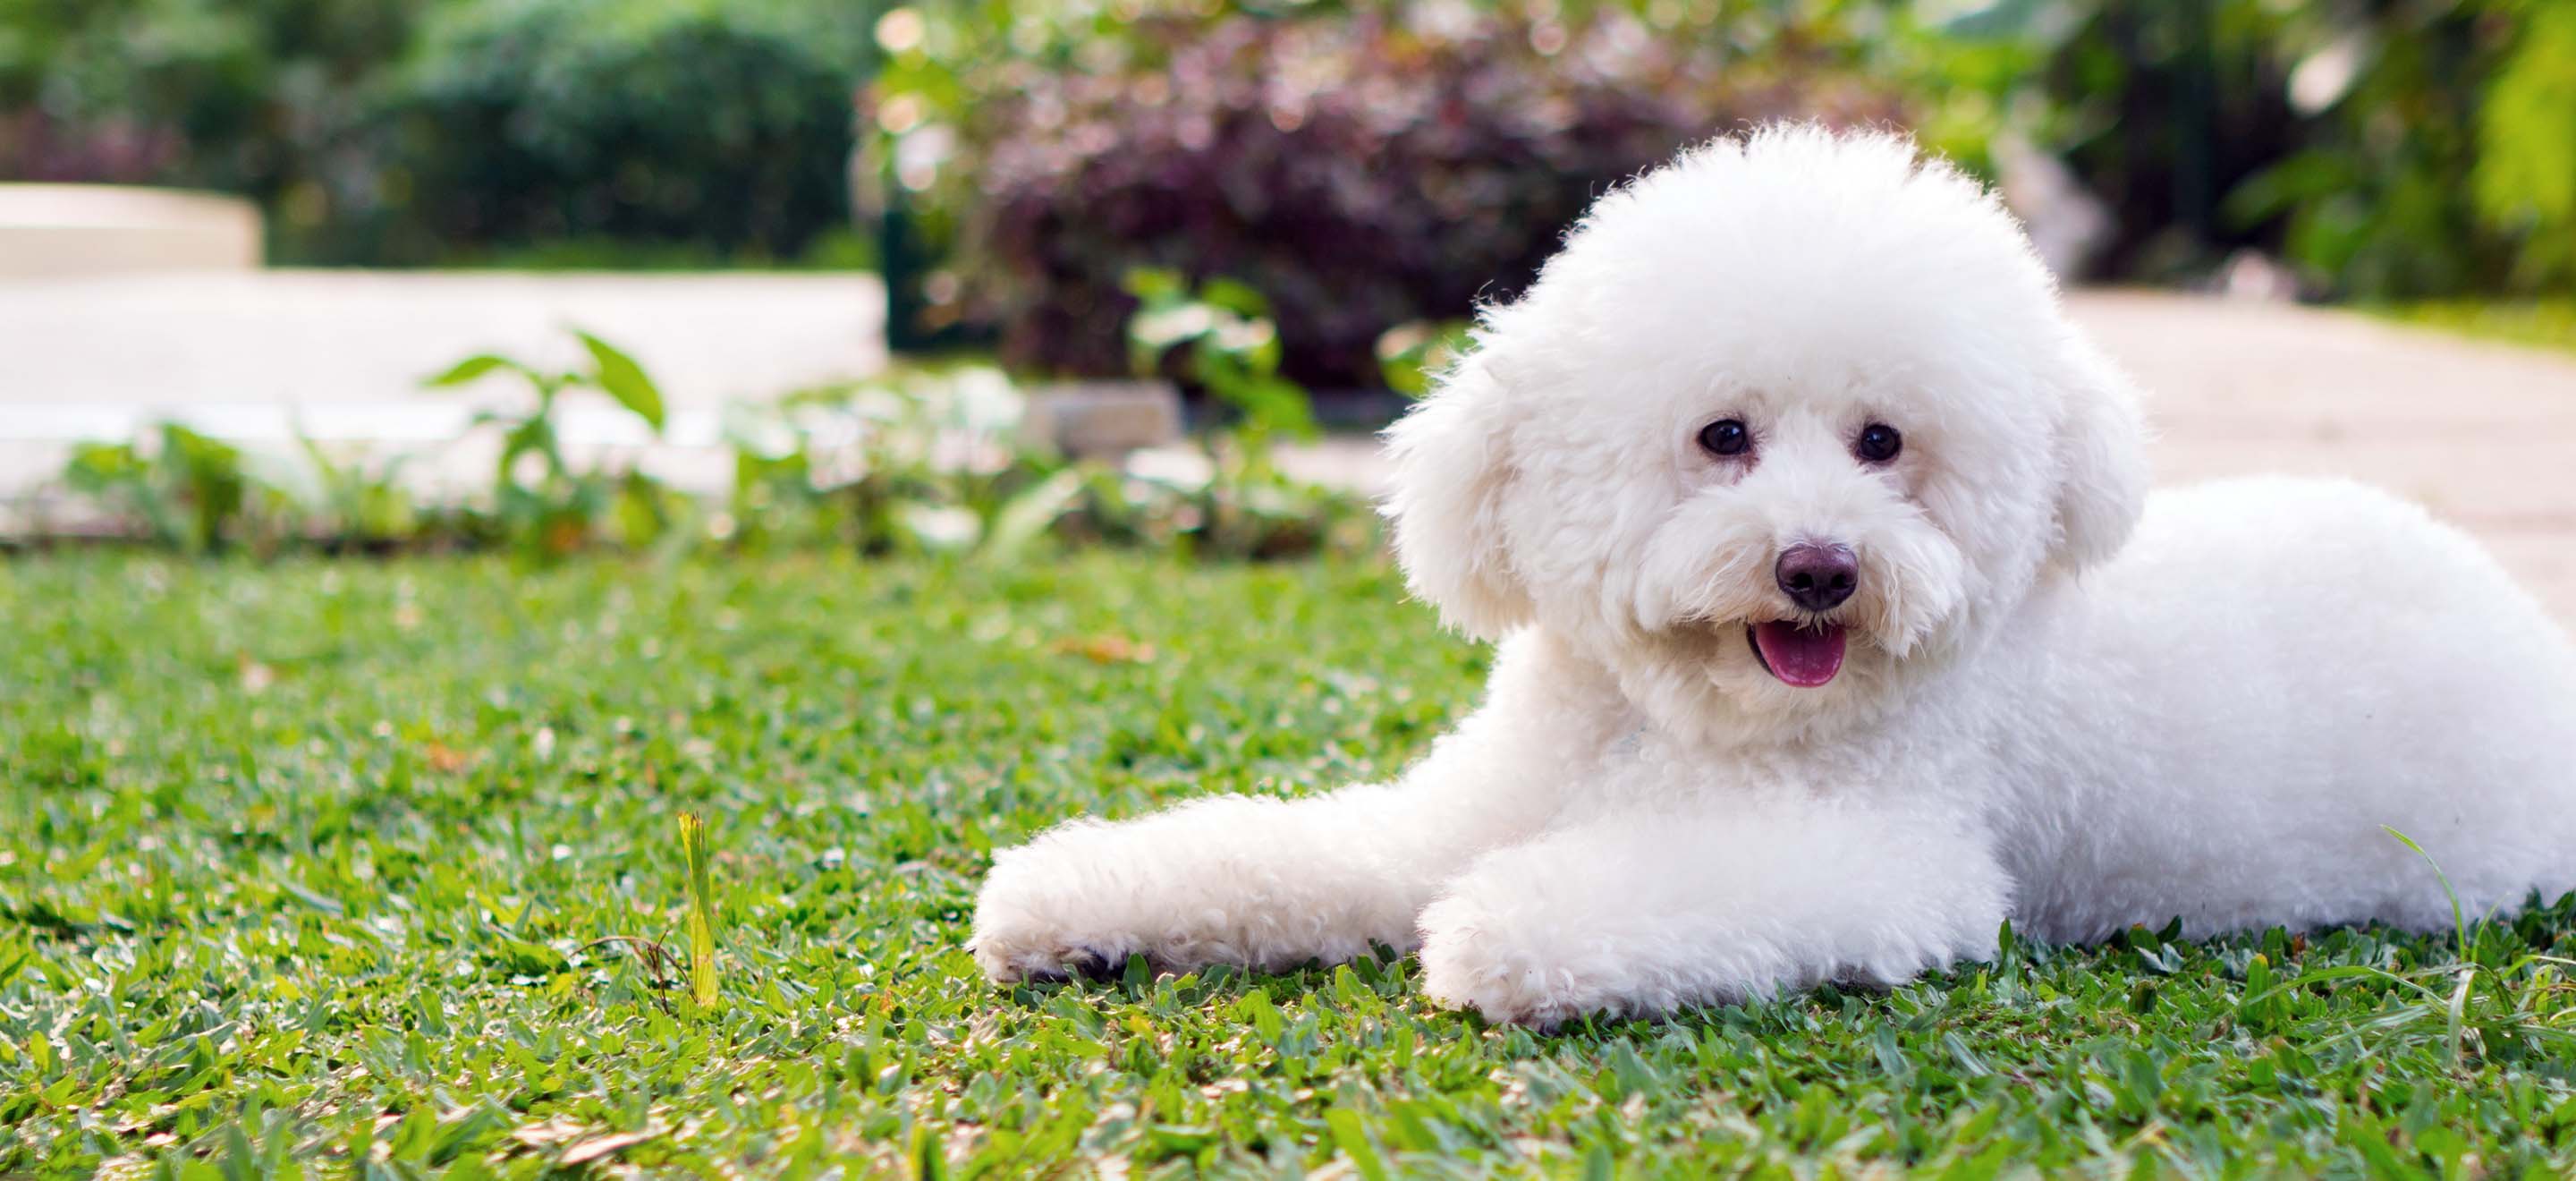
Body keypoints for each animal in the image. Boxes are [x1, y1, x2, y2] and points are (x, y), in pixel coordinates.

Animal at [968, 126, 2576, 1026]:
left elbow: (1650, 893)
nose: (1819, 569)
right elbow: (1287, 855)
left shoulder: (1888, 860)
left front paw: (1505, 932)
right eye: (1722, 437)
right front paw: (1066, 897)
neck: (1671, 725)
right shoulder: (1457, 815)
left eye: (1883, 443)